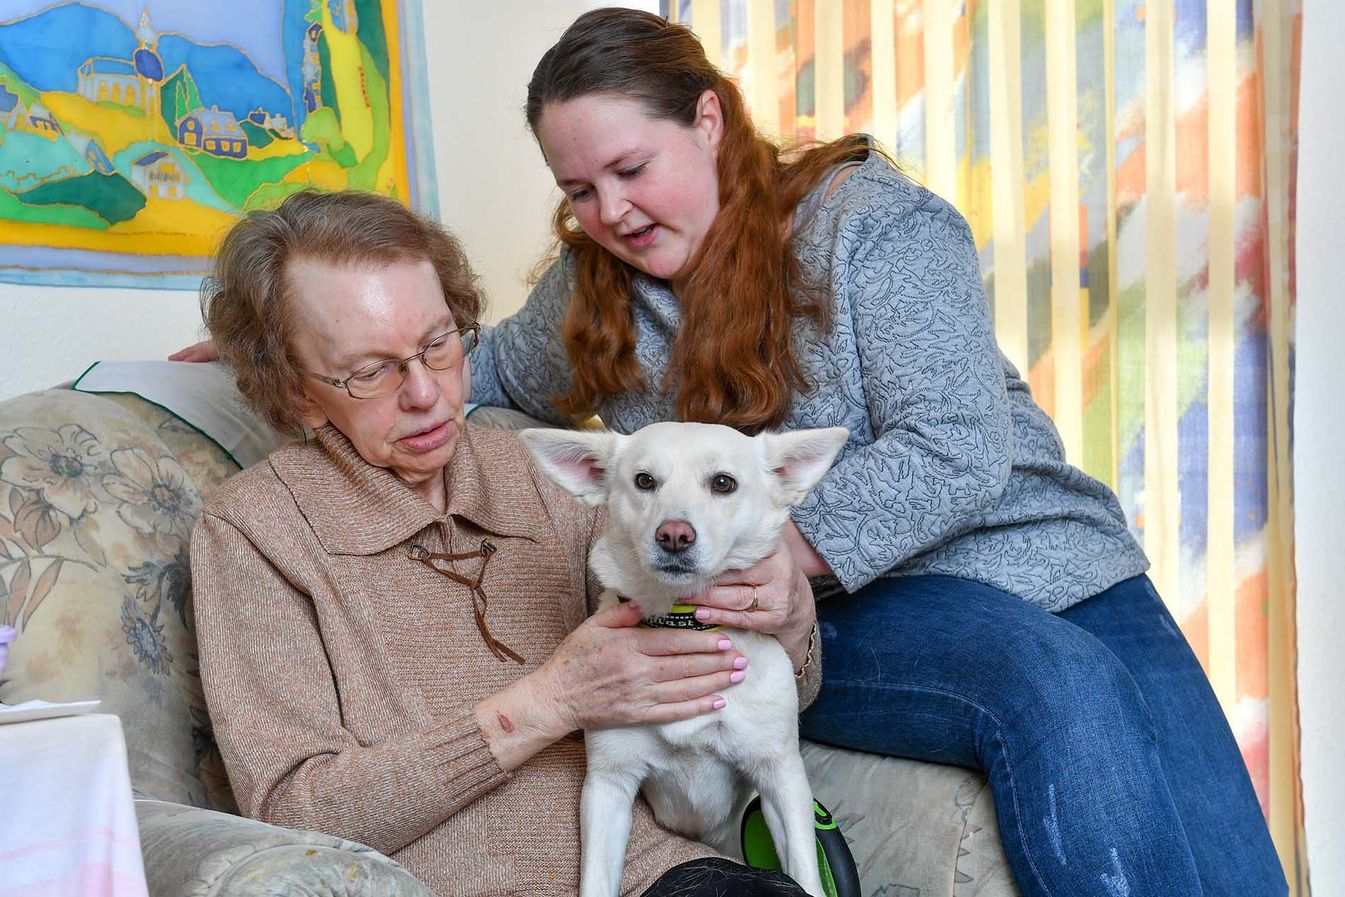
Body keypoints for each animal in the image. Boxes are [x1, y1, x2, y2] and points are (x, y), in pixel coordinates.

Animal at [519, 422, 844, 897]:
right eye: (644, 481)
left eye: (723, 483)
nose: (673, 535)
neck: (683, 621)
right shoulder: (608, 786)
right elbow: (596, 879)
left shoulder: (781, 777)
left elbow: (805, 870)